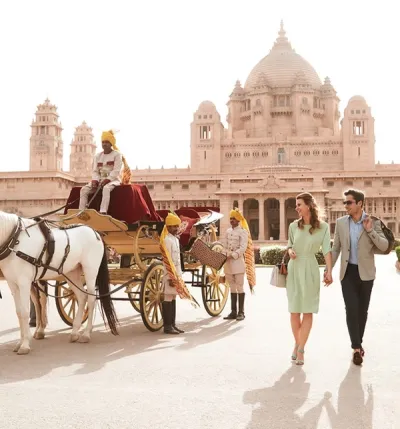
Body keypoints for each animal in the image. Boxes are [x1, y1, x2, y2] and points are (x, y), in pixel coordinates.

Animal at [0, 211, 119, 354]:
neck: (15, 240)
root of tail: (95, 232)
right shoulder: (13, 284)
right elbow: (19, 312)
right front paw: (20, 342)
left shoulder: (24, 282)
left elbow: (24, 311)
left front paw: (25, 344)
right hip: (72, 273)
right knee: (81, 297)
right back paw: (74, 332)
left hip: (90, 272)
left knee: (91, 299)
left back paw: (86, 334)